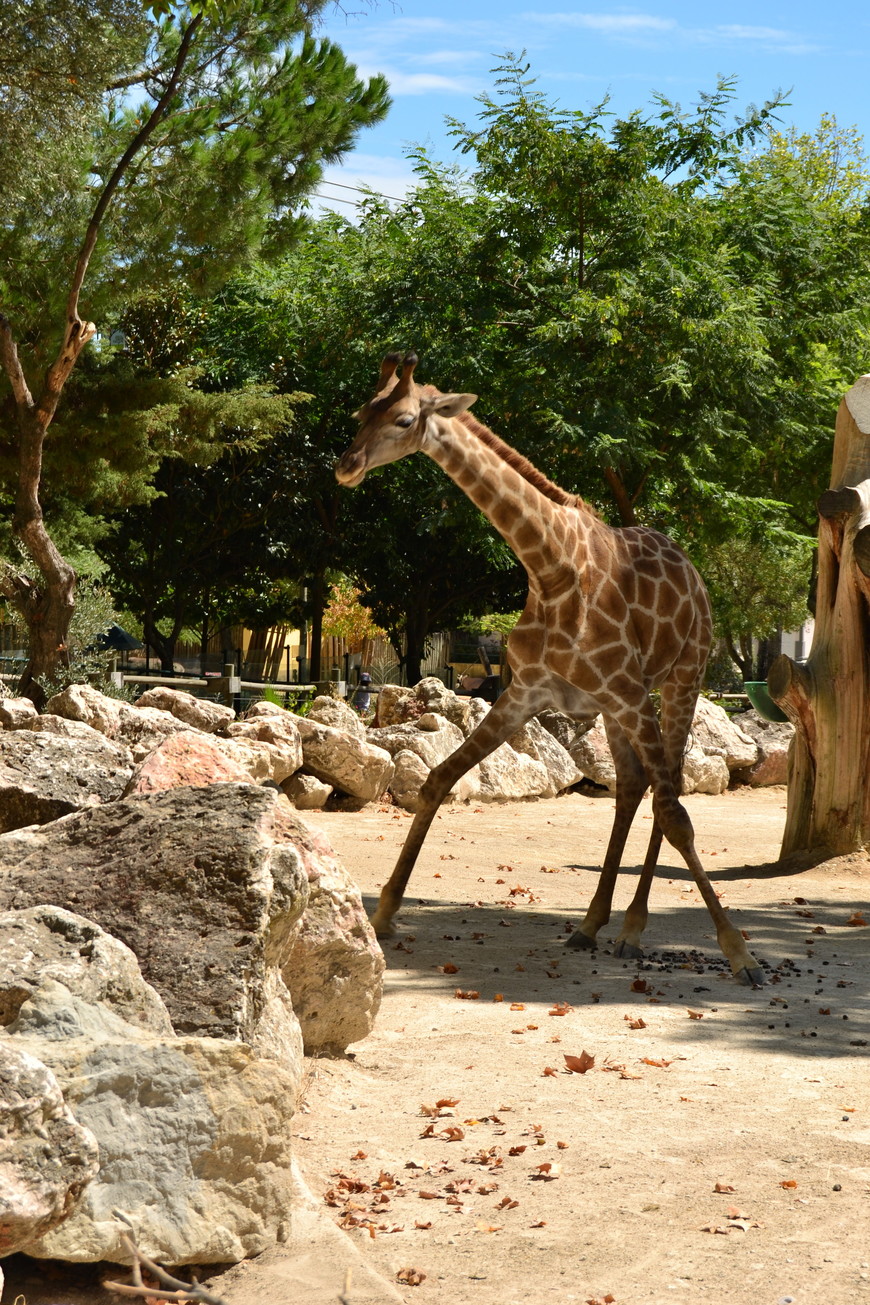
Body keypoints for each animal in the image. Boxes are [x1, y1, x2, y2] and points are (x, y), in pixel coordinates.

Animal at [336, 352, 766, 981]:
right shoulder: (526, 695)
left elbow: (678, 814)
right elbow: (438, 780)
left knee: (668, 793)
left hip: (682, 679)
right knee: (632, 786)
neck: (549, 568)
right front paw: (386, 913)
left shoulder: (627, 691)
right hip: (614, 705)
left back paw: (633, 930)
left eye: (405, 418)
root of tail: (694, 572)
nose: (346, 467)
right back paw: (592, 925)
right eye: (361, 412)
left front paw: (740, 952)